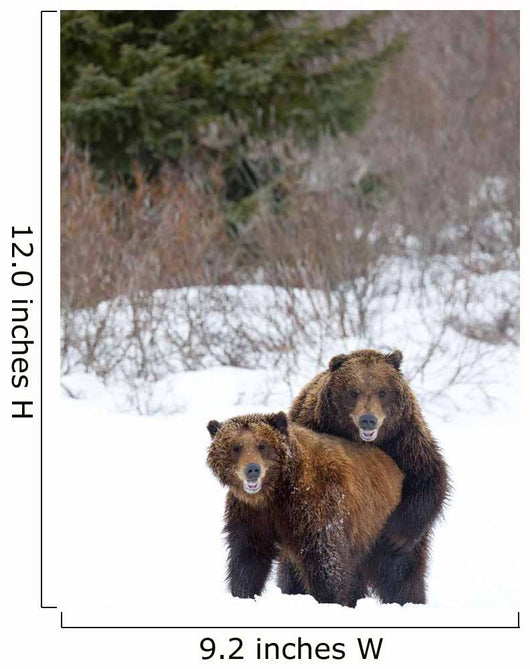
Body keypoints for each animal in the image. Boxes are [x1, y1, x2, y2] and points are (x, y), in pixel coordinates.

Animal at [206, 411, 404, 607]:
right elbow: (248, 556)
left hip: (383, 528)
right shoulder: (251, 514)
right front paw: (243, 593)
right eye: (236, 447)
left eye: (262, 445)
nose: (253, 469)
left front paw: (329, 599)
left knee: (396, 571)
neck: (274, 491)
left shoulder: (314, 507)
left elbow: (325, 560)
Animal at [283, 348, 449, 605]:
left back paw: (408, 599)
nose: (368, 419)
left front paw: (397, 537)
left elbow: (429, 478)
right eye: (353, 391)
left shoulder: (405, 441)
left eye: (382, 391)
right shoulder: (315, 430)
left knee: (403, 573)